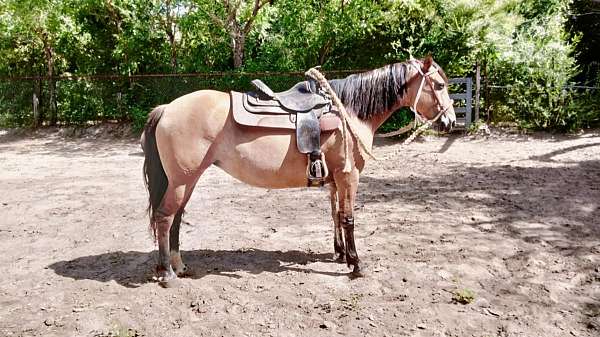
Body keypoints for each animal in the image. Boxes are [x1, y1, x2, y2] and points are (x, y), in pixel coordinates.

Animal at [142, 55, 454, 286]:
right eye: (439, 85)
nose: (449, 121)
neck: (349, 112)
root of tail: (167, 108)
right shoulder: (349, 176)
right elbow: (349, 218)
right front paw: (356, 264)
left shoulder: (335, 179)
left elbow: (336, 215)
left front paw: (341, 254)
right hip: (182, 180)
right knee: (165, 217)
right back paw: (167, 273)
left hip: (187, 180)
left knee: (176, 218)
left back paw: (179, 266)